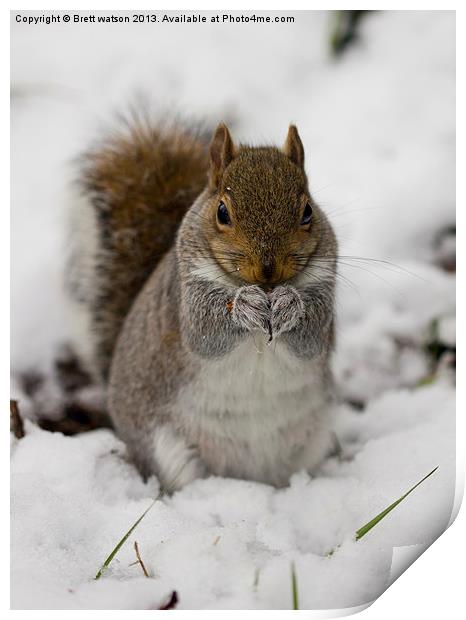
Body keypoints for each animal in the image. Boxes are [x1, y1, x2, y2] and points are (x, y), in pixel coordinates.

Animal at [68, 116, 338, 490]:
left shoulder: (325, 282)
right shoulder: (186, 294)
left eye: (307, 212)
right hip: (169, 451)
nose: (268, 271)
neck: (262, 288)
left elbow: (311, 339)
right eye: (222, 212)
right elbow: (206, 333)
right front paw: (245, 305)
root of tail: (252, 477)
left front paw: (289, 305)